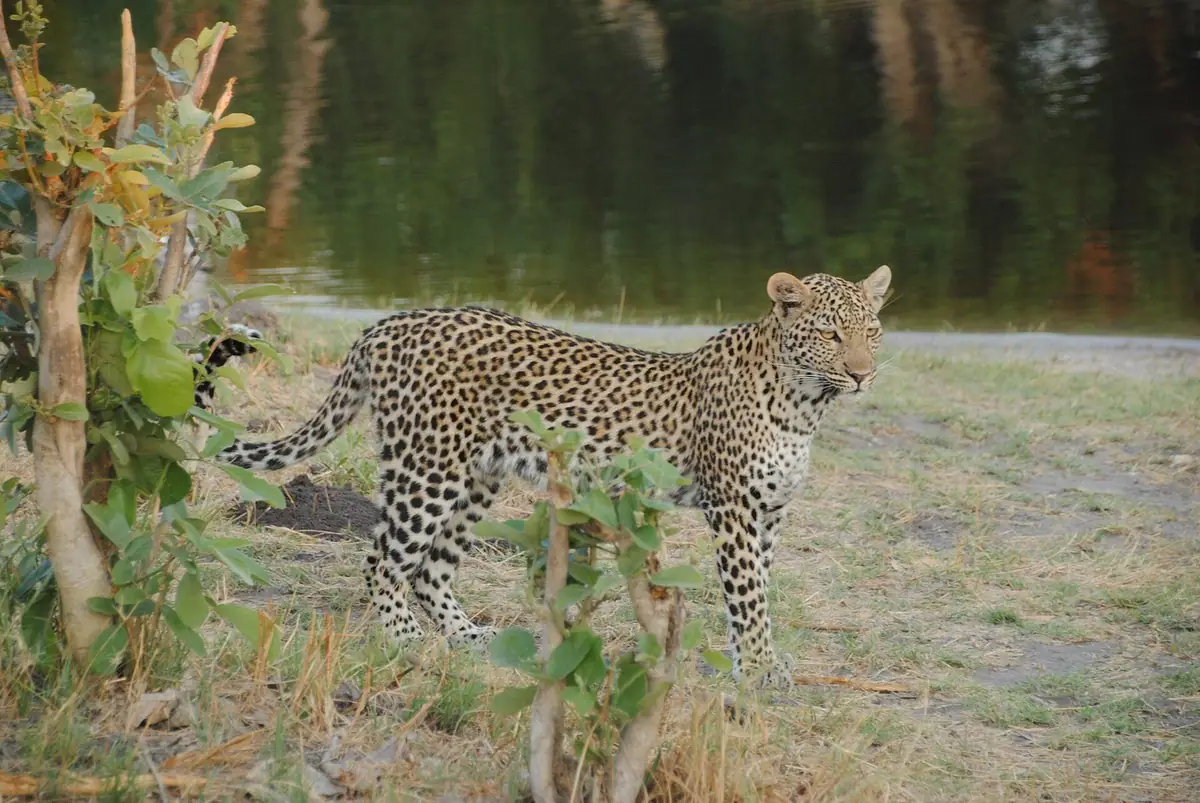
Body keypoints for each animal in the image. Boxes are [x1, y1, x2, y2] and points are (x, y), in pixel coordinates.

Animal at [198, 266, 893, 684]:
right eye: (832, 335)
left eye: (874, 331)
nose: (862, 375)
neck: (805, 404)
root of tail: (386, 324)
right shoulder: (735, 509)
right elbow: (748, 595)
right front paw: (762, 668)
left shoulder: (769, 511)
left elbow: (757, 594)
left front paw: (753, 662)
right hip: (425, 469)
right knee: (383, 560)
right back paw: (408, 641)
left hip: (475, 476)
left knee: (430, 568)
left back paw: (470, 637)